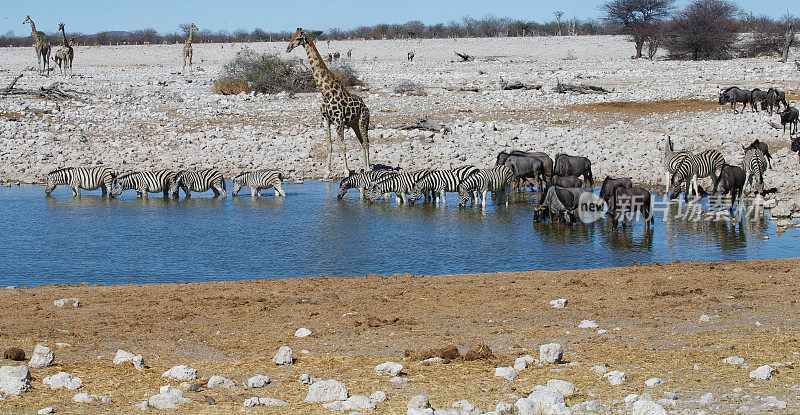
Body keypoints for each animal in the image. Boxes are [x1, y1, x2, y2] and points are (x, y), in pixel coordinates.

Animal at [286, 28, 370, 179]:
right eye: (291, 36)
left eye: (297, 38)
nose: (288, 48)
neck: (325, 91)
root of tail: (367, 108)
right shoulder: (325, 120)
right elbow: (329, 145)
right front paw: (327, 172)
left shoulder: (338, 121)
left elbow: (342, 145)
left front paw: (346, 171)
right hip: (354, 123)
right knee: (362, 142)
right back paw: (366, 167)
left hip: (363, 121)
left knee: (366, 143)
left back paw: (368, 168)